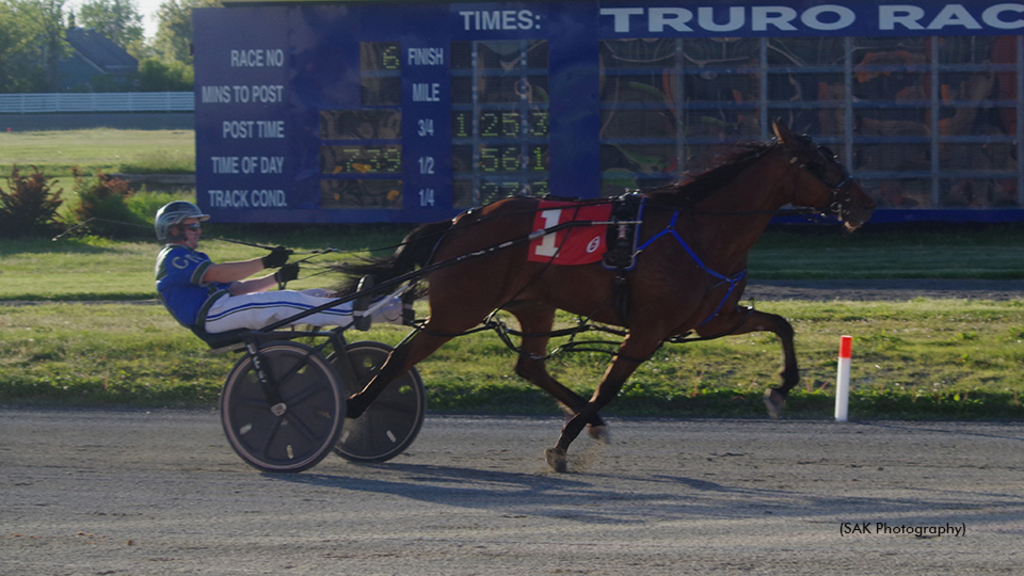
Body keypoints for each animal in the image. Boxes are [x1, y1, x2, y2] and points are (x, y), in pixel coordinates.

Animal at [339, 118, 876, 469]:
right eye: (817, 162)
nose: (864, 203)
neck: (702, 230)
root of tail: (460, 221)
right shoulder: (648, 329)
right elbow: (610, 385)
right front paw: (562, 446)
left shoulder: (715, 319)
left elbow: (781, 325)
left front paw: (780, 390)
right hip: (459, 310)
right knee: (400, 358)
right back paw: (352, 411)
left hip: (534, 304)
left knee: (530, 367)